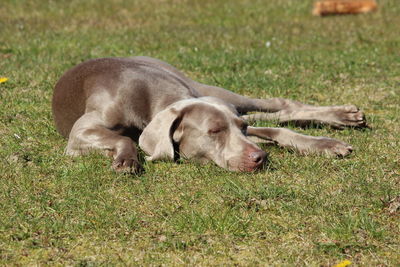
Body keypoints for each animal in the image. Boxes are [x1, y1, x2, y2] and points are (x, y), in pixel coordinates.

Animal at [51, 56, 368, 174]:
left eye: (241, 128)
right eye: (214, 131)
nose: (260, 158)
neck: (148, 99)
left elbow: (278, 130)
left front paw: (325, 144)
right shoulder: (80, 133)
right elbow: (123, 139)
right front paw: (127, 161)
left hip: (211, 89)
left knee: (278, 105)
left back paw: (344, 116)